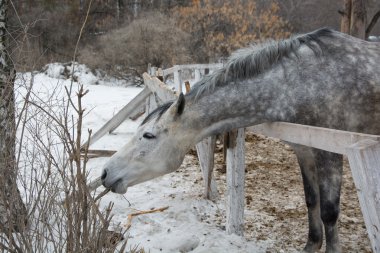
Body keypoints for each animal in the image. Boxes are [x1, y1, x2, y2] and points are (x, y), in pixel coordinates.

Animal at [101, 28, 380, 252]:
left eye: (148, 135)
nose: (105, 173)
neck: (302, 82)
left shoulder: (330, 152)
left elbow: (329, 211)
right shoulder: (304, 150)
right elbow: (311, 201)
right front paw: (311, 245)